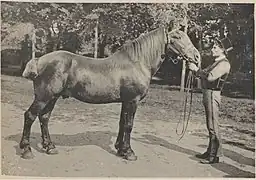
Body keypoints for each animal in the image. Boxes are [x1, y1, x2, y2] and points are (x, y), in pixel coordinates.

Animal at [20, 26, 200, 160]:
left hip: (52, 98)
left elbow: (122, 123)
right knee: (30, 116)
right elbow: (128, 125)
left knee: (44, 118)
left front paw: (120, 149)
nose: (197, 57)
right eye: (177, 37)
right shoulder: (132, 101)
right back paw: (26, 150)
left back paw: (50, 147)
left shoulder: (125, 101)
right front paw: (129, 153)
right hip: (43, 97)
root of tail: (39, 60)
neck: (137, 62)